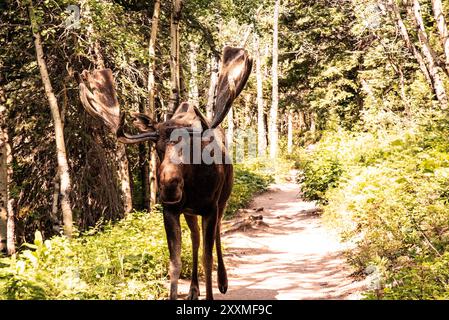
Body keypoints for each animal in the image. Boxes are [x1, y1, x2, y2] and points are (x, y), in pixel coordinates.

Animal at [75, 46, 254, 298]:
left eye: (191, 146)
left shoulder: (210, 207)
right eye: (157, 148)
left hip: (223, 199)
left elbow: (207, 258)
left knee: (217, 231)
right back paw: (193, 289)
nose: (169, 186)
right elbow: (175, 263)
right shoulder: (170, 210)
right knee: (195, 237)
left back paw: (223, 281)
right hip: (190, 211)